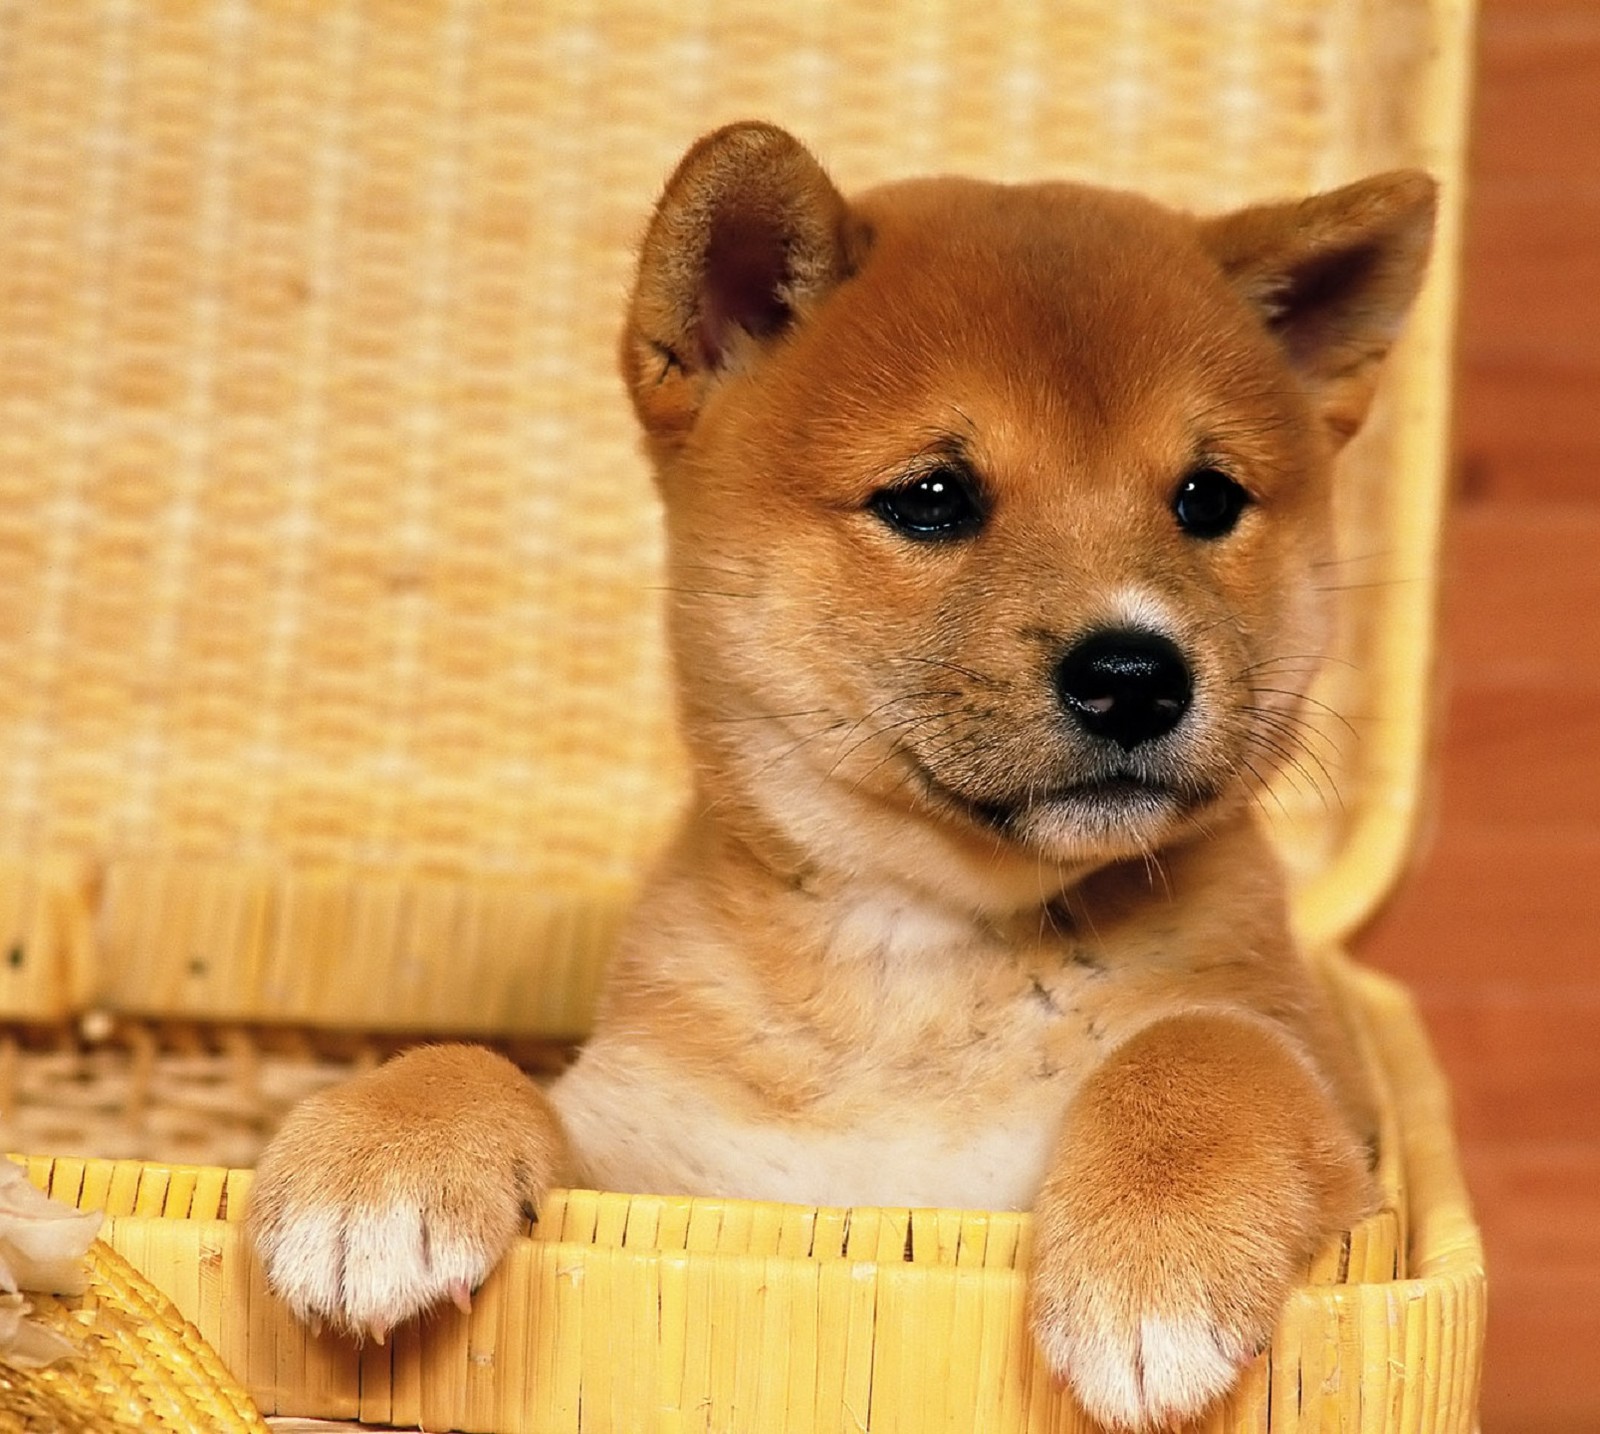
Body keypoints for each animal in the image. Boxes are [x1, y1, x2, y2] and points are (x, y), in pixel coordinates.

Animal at [249, 126, 1440, 1434]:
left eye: (1207, 498)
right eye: (931, 498)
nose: (1134, 675)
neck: (916, 968)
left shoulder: (1339, 1134)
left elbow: (1207, 1048)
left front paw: (1157, 1258)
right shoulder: (657, 1155)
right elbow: (488, 1070)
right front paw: (378, 1159)